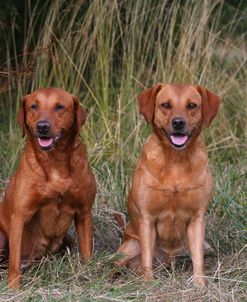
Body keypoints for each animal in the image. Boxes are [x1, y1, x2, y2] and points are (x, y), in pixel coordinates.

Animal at [0, 87, 96, 288]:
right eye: (33, 106)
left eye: (59, 107)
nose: (42, 126)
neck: (55, 162)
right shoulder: (19, 217)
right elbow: (14, 262)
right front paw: (14, 288)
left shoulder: (84, 213)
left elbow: (86, 253)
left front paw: (88, 275)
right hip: (1, 236)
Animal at [116, 83, 221, 288]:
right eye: (165, 105)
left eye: (192, 105)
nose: (178, 123)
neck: (176, 161)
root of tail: (167, 260)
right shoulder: (147, 219)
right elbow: (146, 258)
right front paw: (148, 283)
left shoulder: (197, 219)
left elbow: (198, 259)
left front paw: (199, 284)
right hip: (129, 247)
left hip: (207, 246)